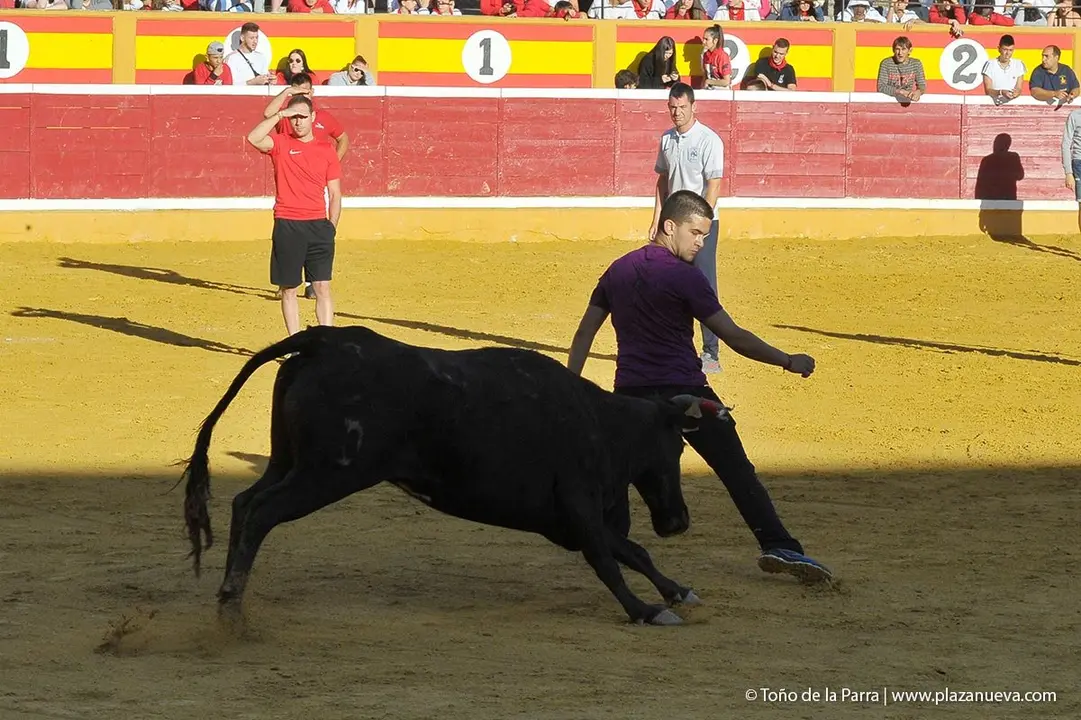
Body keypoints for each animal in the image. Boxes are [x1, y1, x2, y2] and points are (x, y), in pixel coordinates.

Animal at [181, 325, 727, 626]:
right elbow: (609, 559)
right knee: (261, 511)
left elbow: (631, 550)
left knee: (243, 504)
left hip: (287, 462)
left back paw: (226, 601)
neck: (601, 422)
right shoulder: (579, 507)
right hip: (326, 474)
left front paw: (679, 592)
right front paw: (647, 610)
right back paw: (232, 610)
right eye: (679, 445)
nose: (677, 521)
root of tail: (324, 341)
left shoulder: (564, 520)